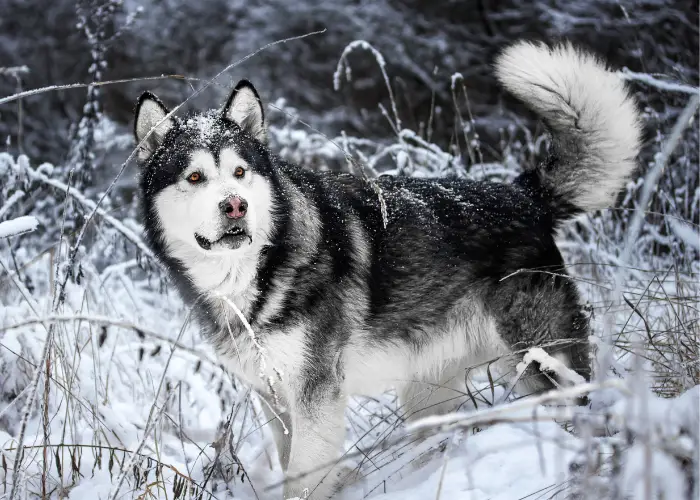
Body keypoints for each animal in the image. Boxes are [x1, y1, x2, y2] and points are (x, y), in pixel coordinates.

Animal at [133, 40, 640, 496]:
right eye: (195, 177)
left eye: (240, 173)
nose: (235, 206)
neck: (253, 275)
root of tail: (523, 196)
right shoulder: (275, 398)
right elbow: (288, 459)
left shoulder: (316, 396)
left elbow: (303, 478)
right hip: (429, 397)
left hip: (545, 367)